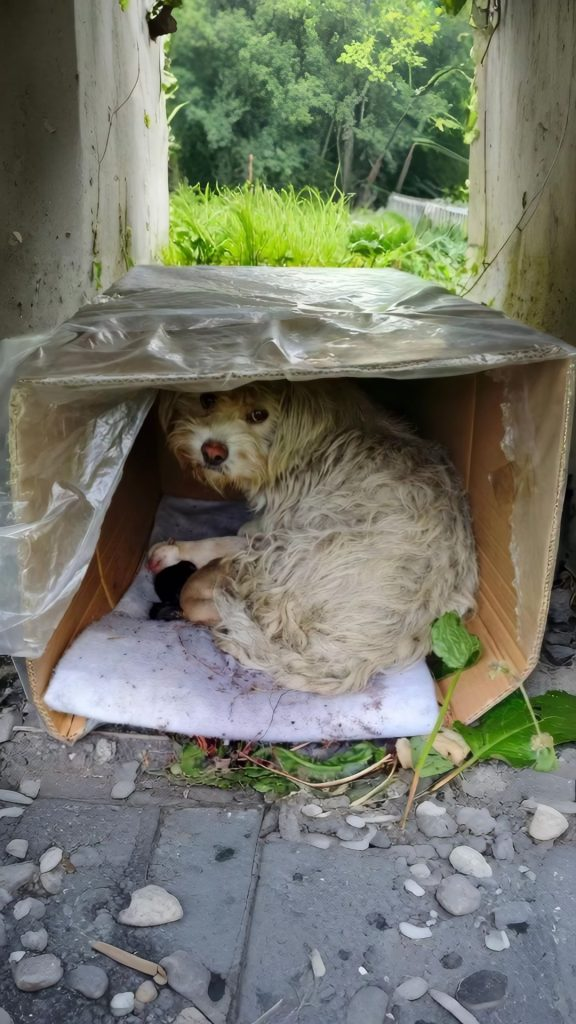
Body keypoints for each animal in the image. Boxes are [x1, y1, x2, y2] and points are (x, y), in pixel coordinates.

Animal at [148, 380, 478, 696]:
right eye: (207, 399)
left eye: (259, 415)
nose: (213, 452)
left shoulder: (275, 529)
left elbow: (228, 539)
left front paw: (173, 552)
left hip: (281, 562)